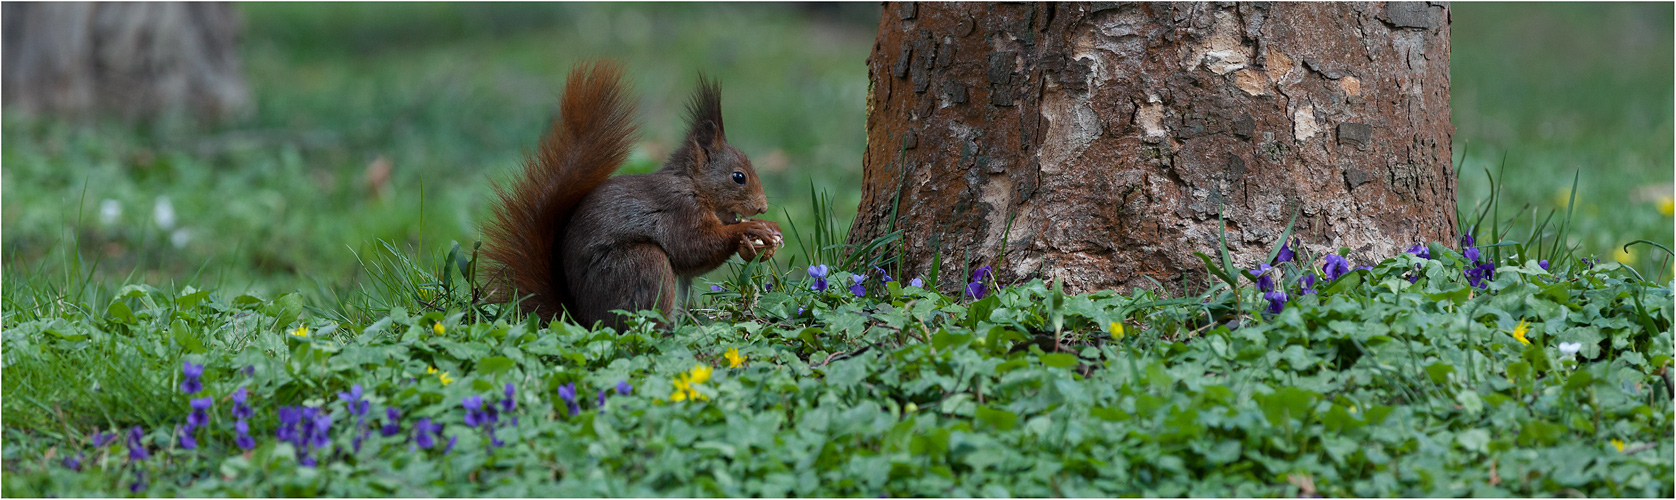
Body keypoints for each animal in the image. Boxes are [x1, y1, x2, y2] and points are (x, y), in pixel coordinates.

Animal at [475, 61, 781, 328]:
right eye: (738, 177)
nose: (763, 207)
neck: (693, 186)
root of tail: (583, 320)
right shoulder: (678, 209)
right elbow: (691, 247)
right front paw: (754, 228)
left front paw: (758, 242)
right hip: (641, 264)